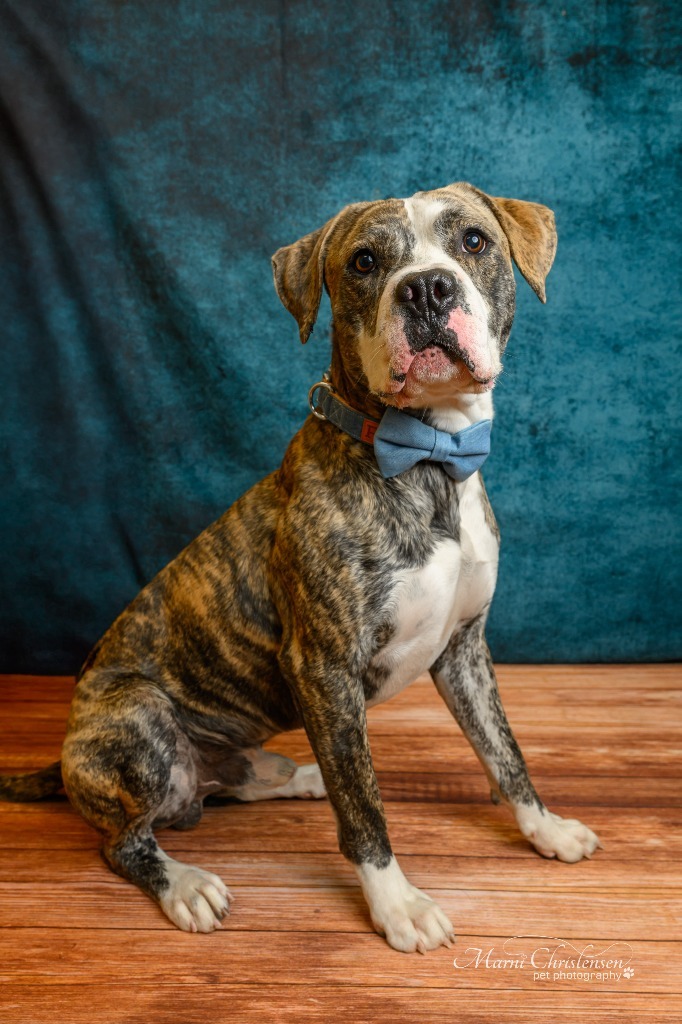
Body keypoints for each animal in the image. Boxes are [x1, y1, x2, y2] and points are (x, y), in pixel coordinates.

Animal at [0, 182, 598, 950]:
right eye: (365, 261)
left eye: (473, 242)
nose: (427, 288)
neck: (429, 459)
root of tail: (67, 760)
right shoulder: (323, 667)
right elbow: (365, 811)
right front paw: (396, 905)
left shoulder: (464, 650)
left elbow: (504, 751)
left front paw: (544, 828)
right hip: (139, 719)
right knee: (124, 840)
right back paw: (185, 885)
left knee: (246, 783)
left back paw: (299, 774)